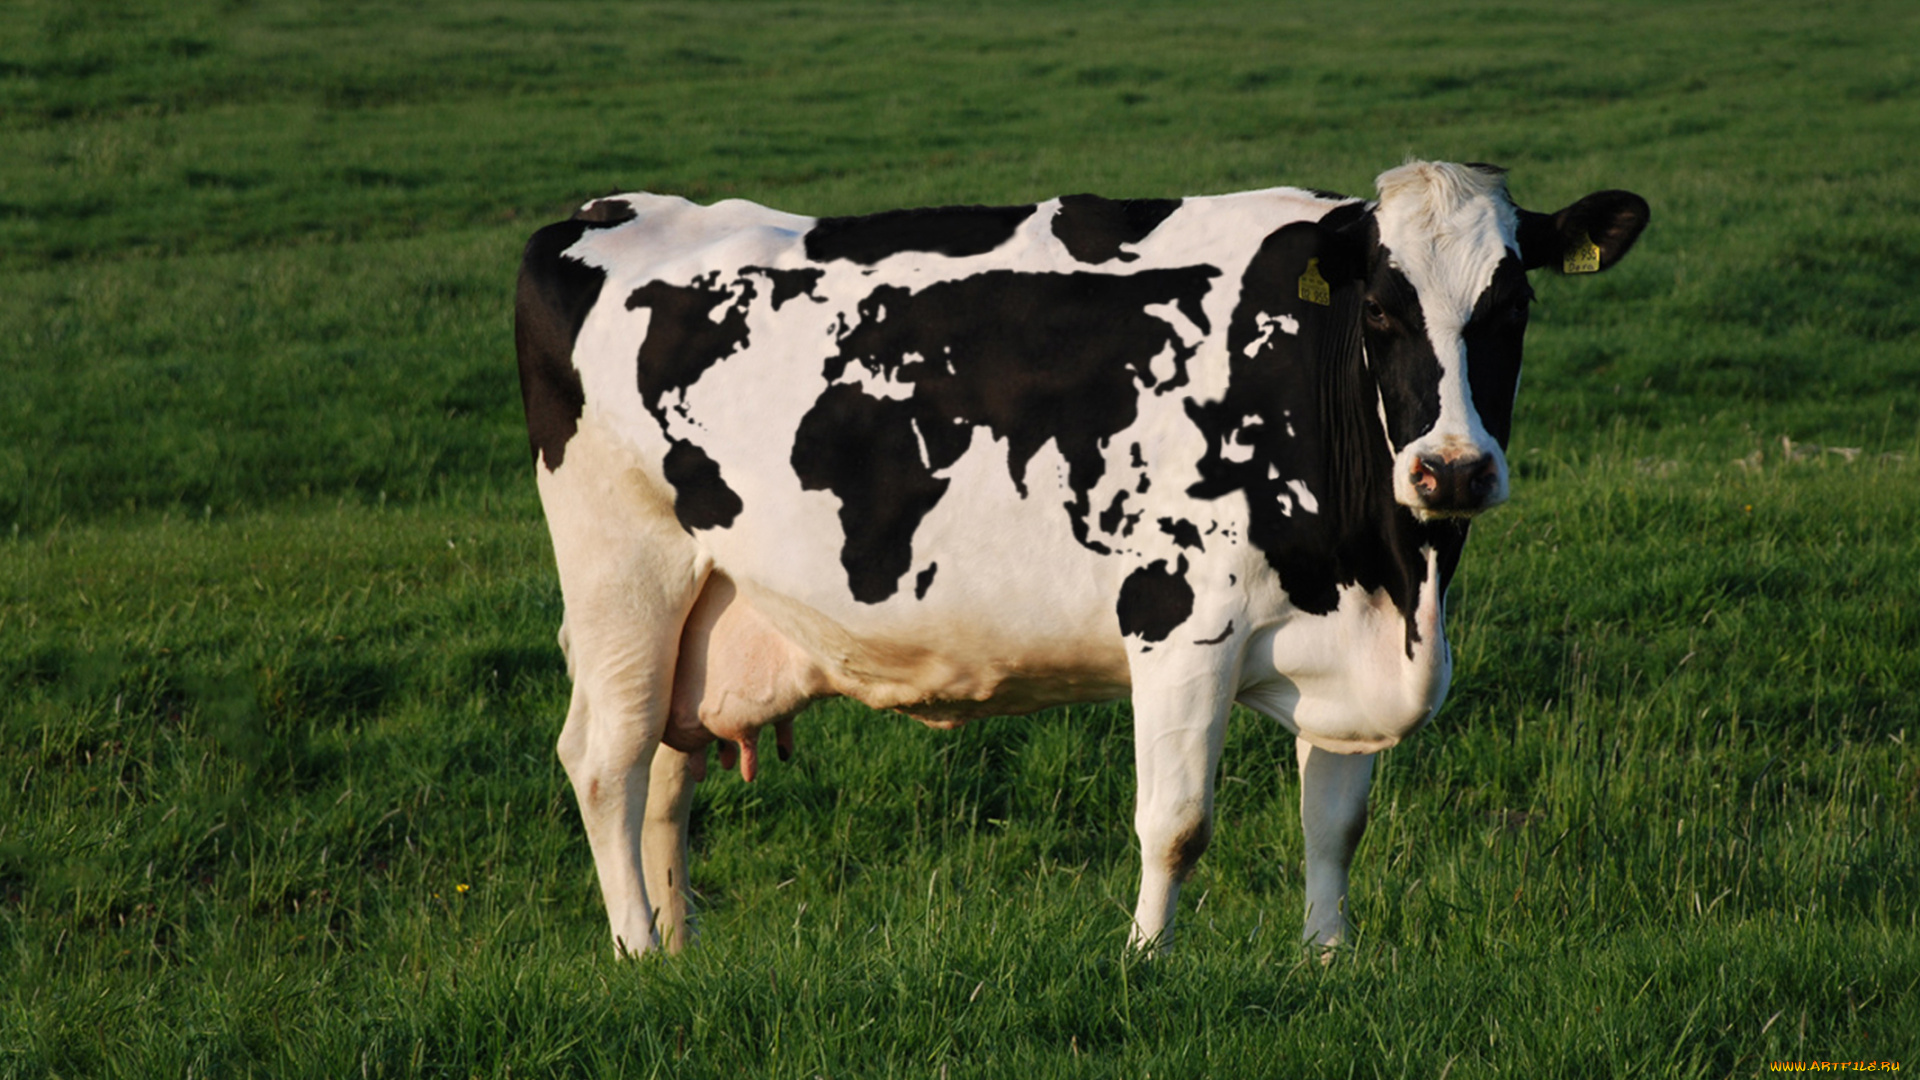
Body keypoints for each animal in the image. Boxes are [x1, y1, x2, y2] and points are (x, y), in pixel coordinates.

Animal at [514, 161, 1648, 957]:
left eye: (1512, 307)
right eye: (1379, 310)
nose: (1451, 470)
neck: (1392, 574)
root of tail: (603, 212)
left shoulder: (1343, 632)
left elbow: (1336, 823)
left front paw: (1329, 961)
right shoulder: (1181, 617)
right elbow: (1176, 822)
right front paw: (1145, 961)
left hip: (702, 606)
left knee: (668, 771)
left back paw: (680, 952)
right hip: (622, 571)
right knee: (607, 761)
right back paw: (632, 949)